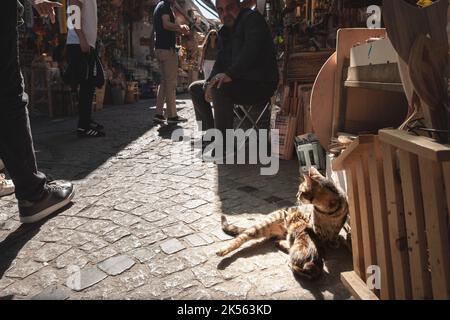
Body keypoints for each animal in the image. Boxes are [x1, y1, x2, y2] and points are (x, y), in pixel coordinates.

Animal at [216, 168, 350, 280]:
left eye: (301, 191)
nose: (296, 196)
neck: (327, 211)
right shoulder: (314, 227)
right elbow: (317, 239)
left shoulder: (340, 222)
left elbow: (334, 234)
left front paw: (334, 241)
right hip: (261, 227)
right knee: (240, 238)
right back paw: (222, 250)